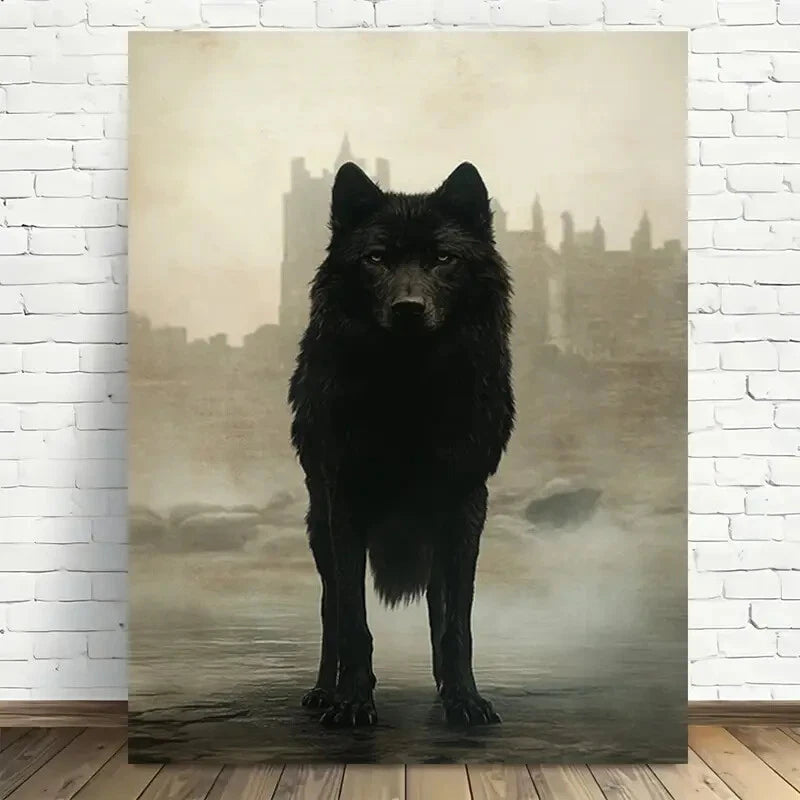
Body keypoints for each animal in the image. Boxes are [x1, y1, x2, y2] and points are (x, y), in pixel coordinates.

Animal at [288, 160, 515, 727]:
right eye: (375, 259)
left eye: (442, 258)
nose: (409, 308)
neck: (409, 387)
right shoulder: (345, 501)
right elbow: (353, 622)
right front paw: (351, 702)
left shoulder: (466, 505)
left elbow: (457, 623)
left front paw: (465, 699)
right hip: (319, 527)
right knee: (329, 608)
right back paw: (324, 690)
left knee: (438, 605)